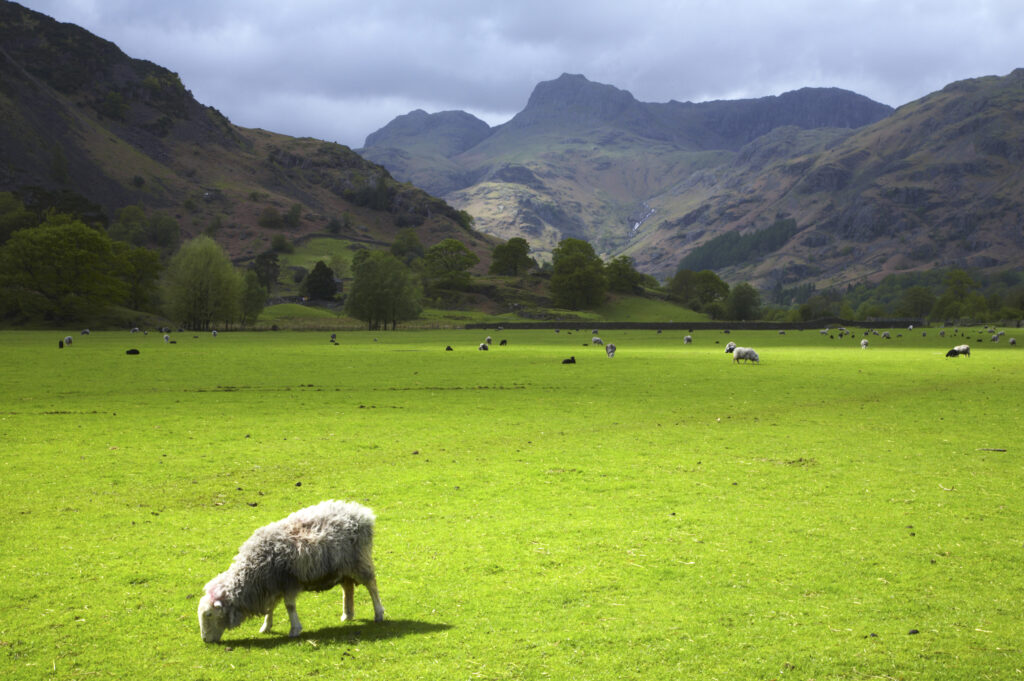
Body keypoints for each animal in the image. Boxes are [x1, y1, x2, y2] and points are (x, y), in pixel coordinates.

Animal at [197, 500, 385, 643]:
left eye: (209, 614)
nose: (205, 640)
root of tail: (361, 513)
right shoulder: (272, 585)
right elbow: (270, 607)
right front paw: (266, 626)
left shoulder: (287, 583)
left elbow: (289, 606)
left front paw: (294, 629)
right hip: (342, 567)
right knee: (348, 588)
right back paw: (347, 614)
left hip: (359, 561)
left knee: (371, 585)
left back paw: (379, 613)